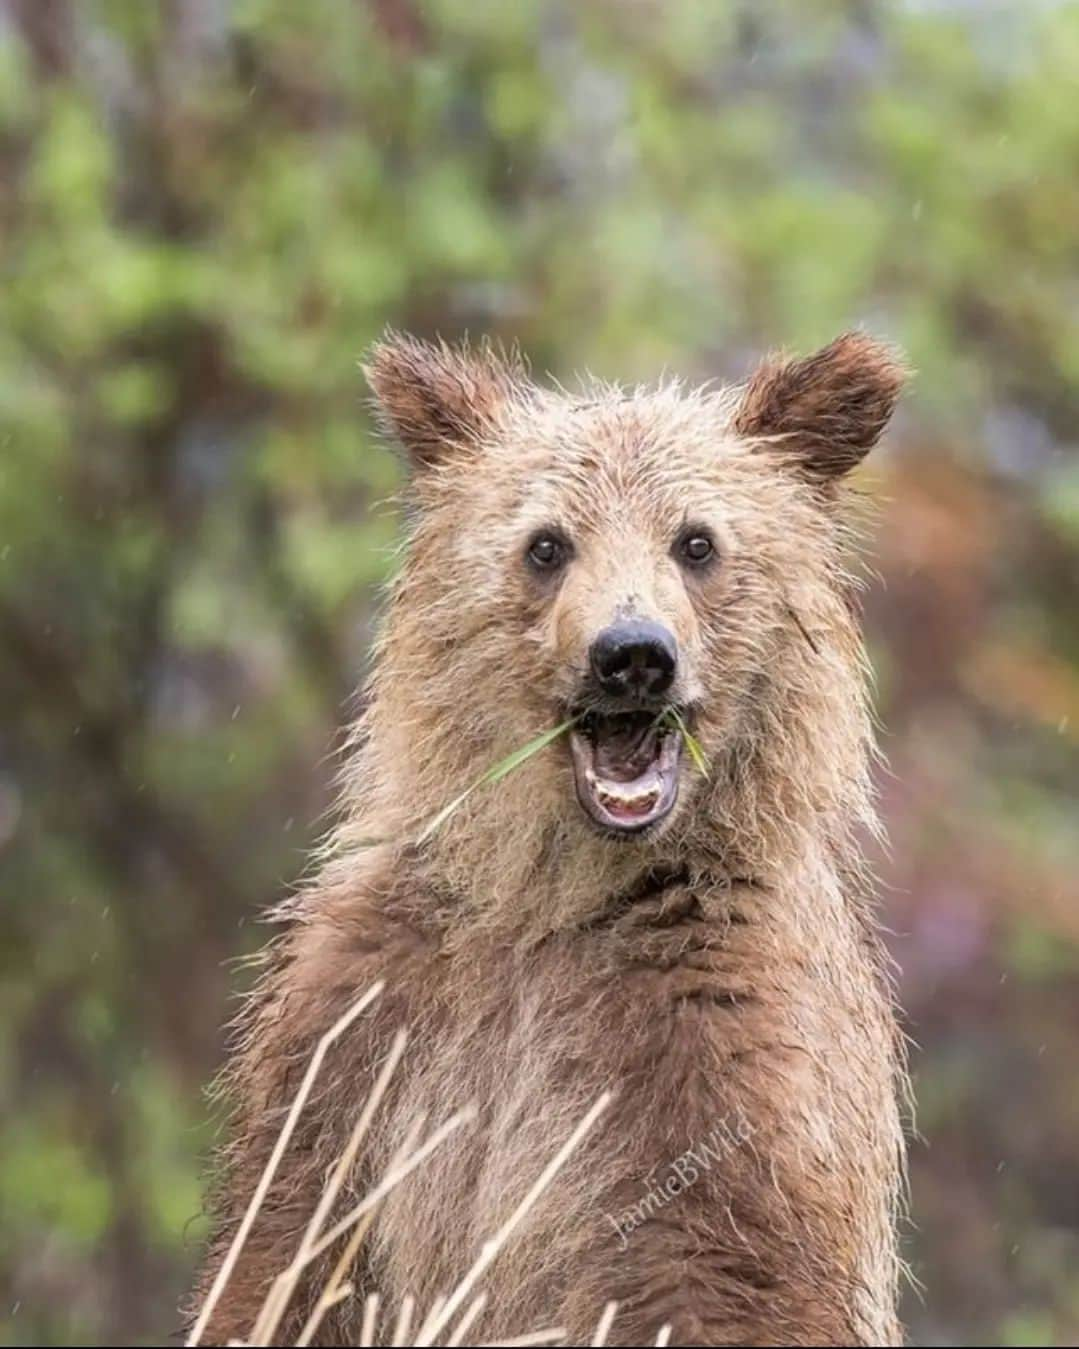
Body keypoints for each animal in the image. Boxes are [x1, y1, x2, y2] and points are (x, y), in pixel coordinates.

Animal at [190, 329, 906, 1349]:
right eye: (546, 543)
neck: (554, 892)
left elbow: (732, 1281)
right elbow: (284, 1260)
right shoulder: (356, 1031)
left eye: (696, 540)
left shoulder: (731, 1045)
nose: (632, 653)